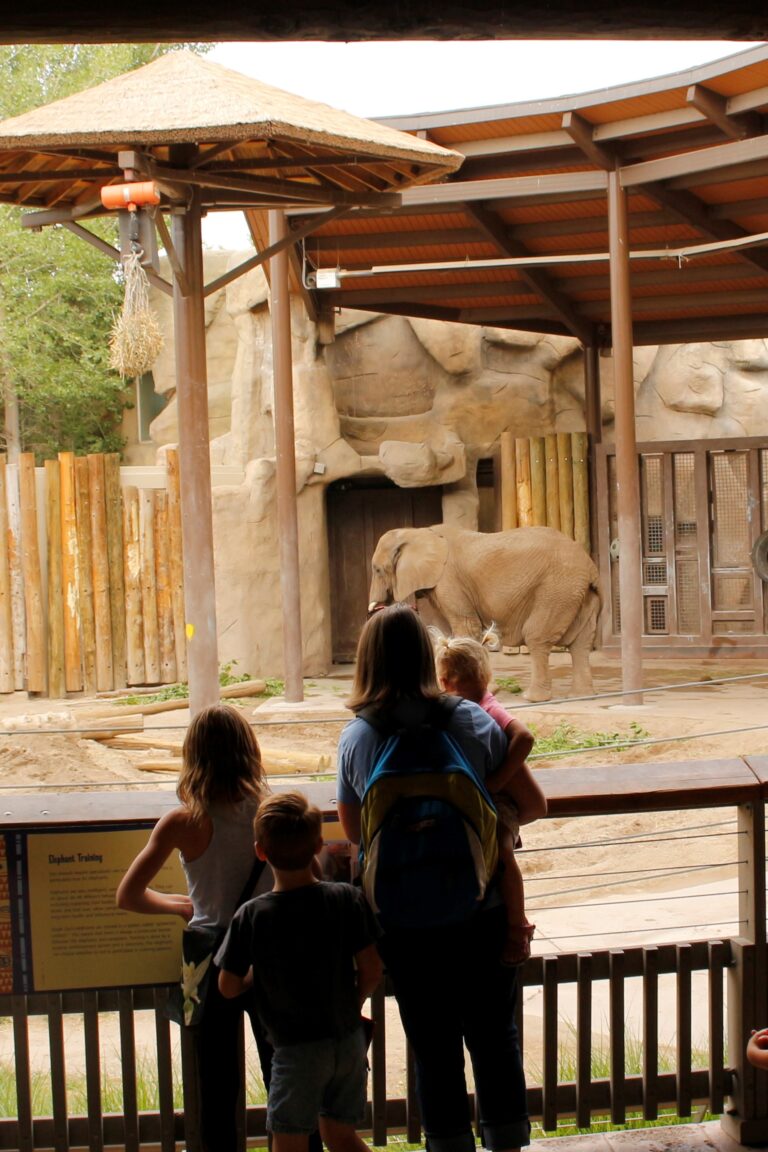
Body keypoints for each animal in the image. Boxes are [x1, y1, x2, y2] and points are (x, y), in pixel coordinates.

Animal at [368, 525, 603, 700]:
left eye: (377, 570)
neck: (418, 531)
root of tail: (590, 566)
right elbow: (439, 632)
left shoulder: (449, 580)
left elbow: (466, 628)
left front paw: (482, 691)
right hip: (577, 593)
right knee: (581, 643)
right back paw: (581, 696)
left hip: (557, 589)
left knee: (537, 636)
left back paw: (533, 698)